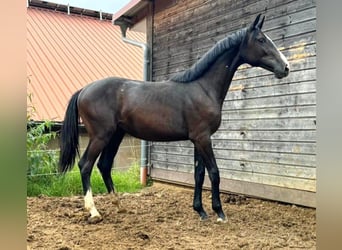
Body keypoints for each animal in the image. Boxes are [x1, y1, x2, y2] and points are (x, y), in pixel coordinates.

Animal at [58, 14, 288, 223]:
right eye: (261, 39)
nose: (285, 67)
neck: (203, 88)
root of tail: (84, 90)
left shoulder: (197, 140)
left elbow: (199, 174)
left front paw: (200, 211)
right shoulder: (203, 138)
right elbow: (214, 172)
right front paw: (219, 212)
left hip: (116, 135)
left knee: (104, 165)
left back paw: (118, 204)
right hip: (101, 136)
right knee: (85, 165)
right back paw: (94, 212)